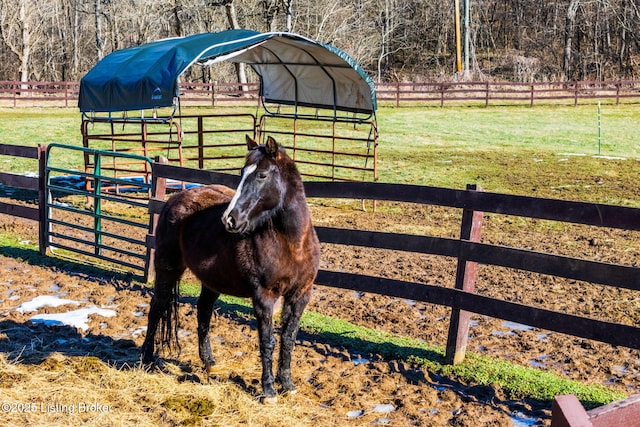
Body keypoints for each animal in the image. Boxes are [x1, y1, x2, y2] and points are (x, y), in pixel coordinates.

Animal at [141, 135, 318, 402]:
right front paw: (269, 391)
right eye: (242, 172)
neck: (292, 244)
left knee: (203, 313)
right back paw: (147, 358)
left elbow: (288, 339)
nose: (230, 219)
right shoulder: (264, 297)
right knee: (157, 308)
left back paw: (210, 363)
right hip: (167, 269)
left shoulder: (300, 295)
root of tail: (175, 198)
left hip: (212, 281)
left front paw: (287, 385)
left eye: (262, 175)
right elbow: (267, 341)